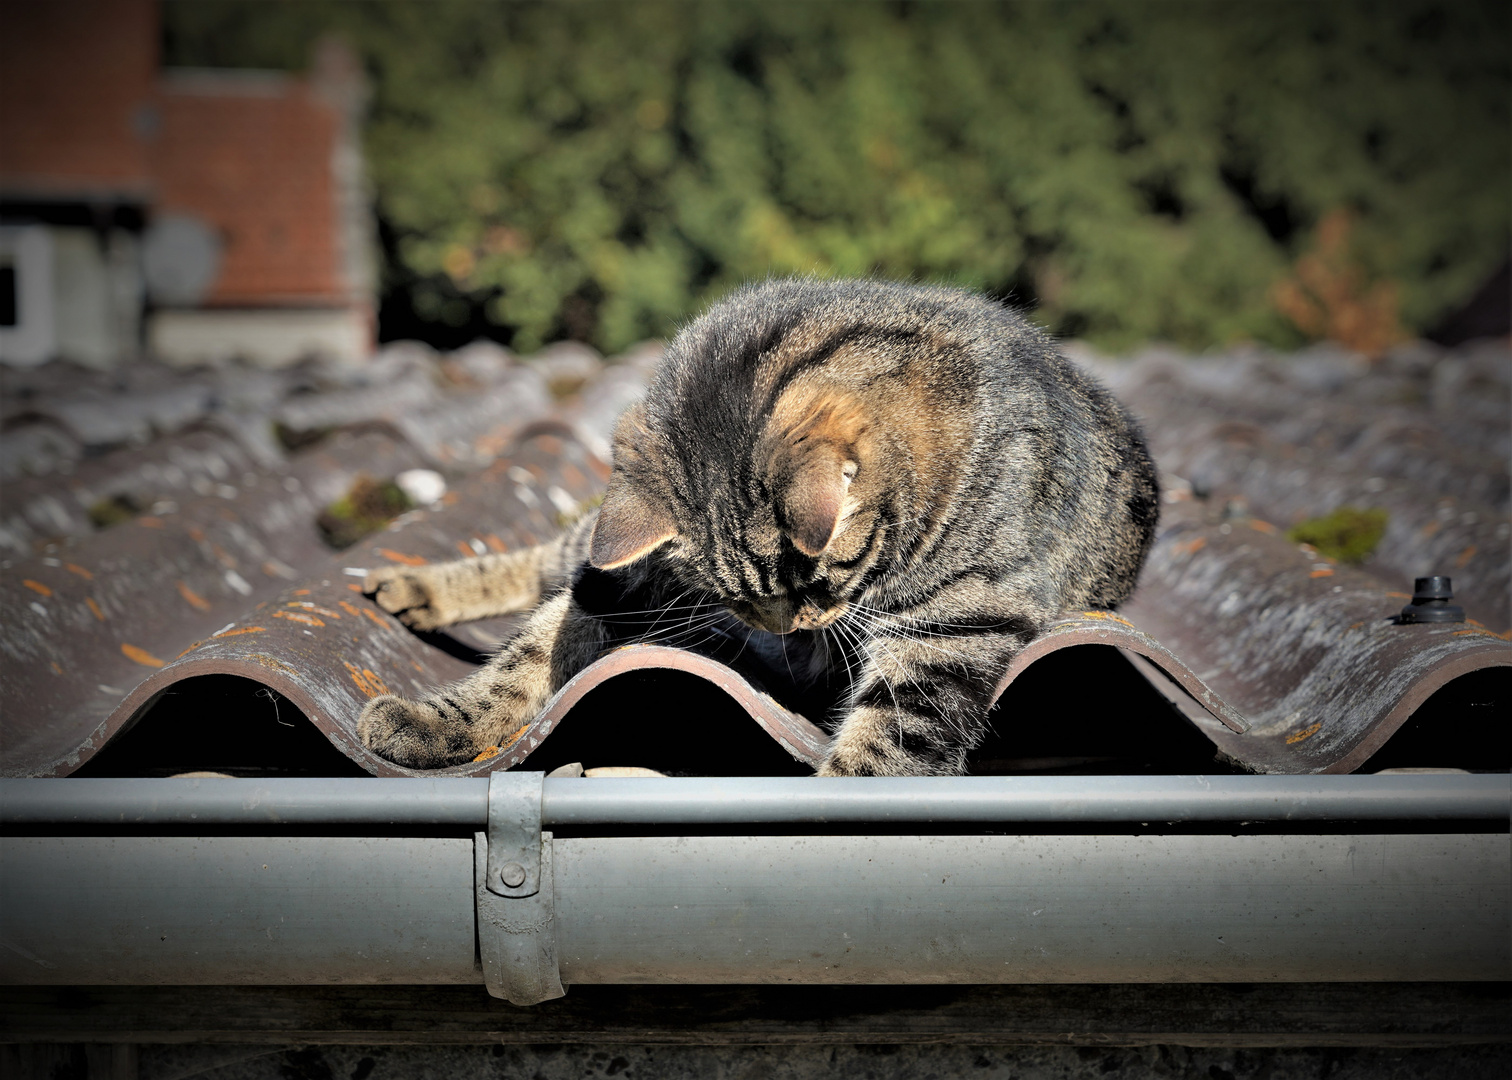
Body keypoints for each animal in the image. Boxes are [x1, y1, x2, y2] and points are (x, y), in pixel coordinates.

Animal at [356, 273, 1155, 768]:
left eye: (822, 583)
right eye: (741, 600)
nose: (789, 632)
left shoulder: (958, 625)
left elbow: (887, 748)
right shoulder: (625, 578)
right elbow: (526, 656)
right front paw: (438, 722)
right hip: (601, 541)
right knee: (552, 555)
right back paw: (410, 586)